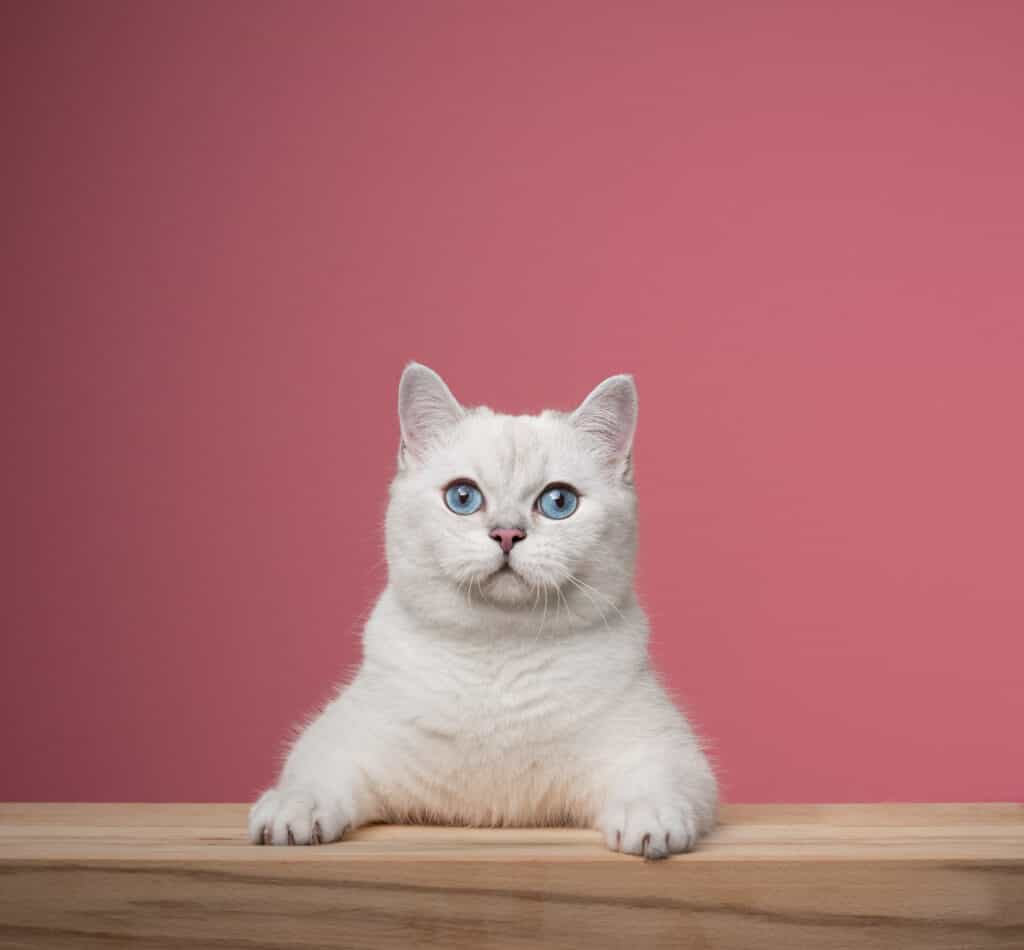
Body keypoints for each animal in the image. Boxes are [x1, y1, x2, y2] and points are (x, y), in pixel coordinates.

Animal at [248, 366, 716, 859]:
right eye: (463, 497)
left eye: (559, 502)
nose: (507, 534)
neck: (499, 651)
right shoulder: (343, 737)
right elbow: (312, 775)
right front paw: (291, 812)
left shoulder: (663, 745)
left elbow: (658, 780)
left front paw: (651, 821)